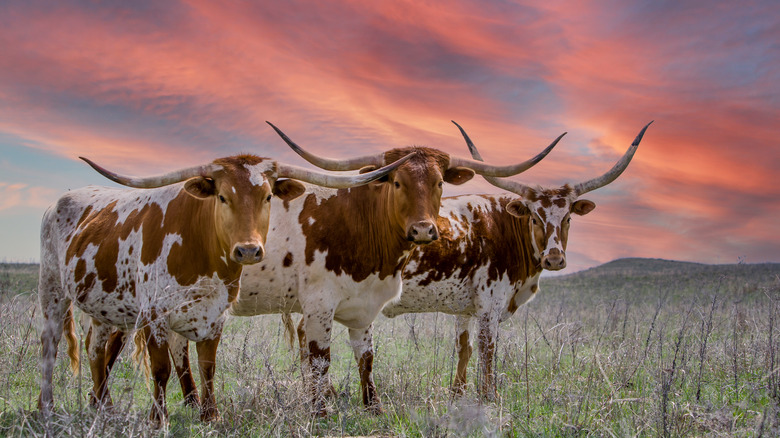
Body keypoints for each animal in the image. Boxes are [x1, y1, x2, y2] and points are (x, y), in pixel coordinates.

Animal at [36, 149, 408, 426]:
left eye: (268, 196)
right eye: (222, 196)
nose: (248, 250)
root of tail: (60, 200)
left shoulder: (216, 315)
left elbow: (207, 365)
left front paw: (209, 414)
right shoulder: (155, 314)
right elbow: (161, 369)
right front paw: (159, 419)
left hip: (105, 308)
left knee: (96, 350)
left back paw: (104, 408)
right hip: (52, 291)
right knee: (50, 347)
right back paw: (46, 407)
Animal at [151, 121, 560, 416]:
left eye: (439, 183)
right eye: (396, 181)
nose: (424, 230)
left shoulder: (366, 304)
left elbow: (367, 357)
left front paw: (373, 406)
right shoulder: (318, 305)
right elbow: (320, 359)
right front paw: (320, 411)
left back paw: (190, 402)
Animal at [378, 121, 652, 398]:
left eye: (568, 218)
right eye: (534, 218)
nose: (554, 260)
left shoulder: (464, 309)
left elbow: (464, 349)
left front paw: (458, 394)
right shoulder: (490, 306)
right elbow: (487, 351)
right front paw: (489, 396)